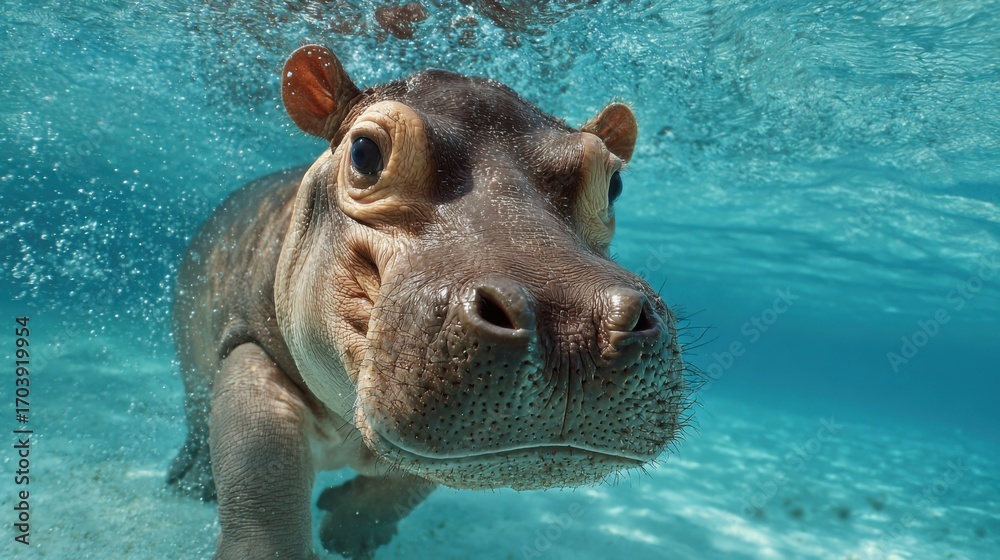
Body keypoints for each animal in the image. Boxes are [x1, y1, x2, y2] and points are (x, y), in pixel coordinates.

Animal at [167, 45, 687, 559]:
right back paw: (189, 482)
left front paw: (348, 533)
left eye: (614, 183)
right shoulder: (250, 346)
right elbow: (260, 473)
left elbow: (408, 485)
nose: (573, 324)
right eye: (363, 152)